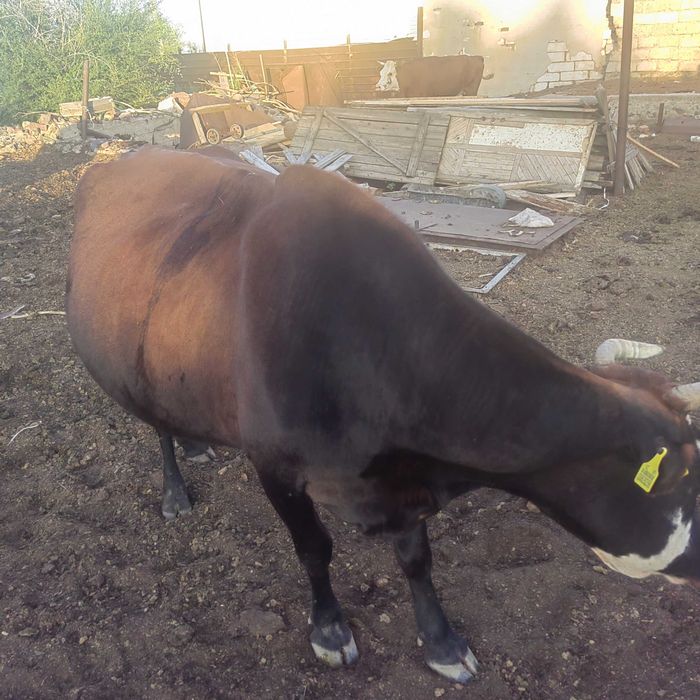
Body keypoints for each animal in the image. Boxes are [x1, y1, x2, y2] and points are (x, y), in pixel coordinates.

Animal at [66, 146, 700, 683]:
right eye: (685, 479)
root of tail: (113, 162)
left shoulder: (402, 478)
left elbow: (417, 561)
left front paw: (442, 644)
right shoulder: (276, 467)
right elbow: (314, 549)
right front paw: (329, 631)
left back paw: (197, 444)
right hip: (128, 365)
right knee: (153, 423)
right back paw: (175, 488)